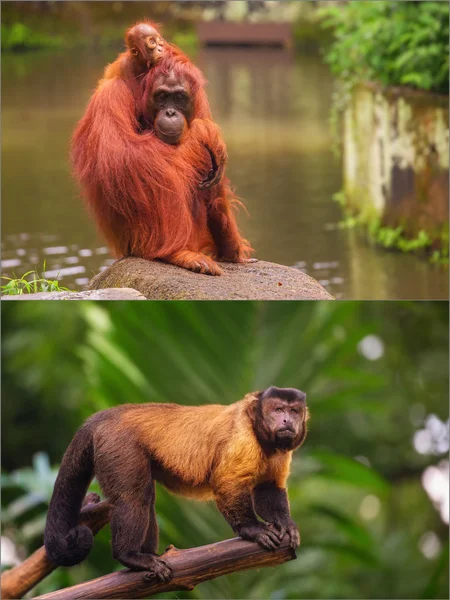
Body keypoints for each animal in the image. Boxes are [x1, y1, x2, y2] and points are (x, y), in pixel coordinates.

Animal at [44, 390, 308, 580]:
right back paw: (130, 556)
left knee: (146, 498)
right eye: (277, 409)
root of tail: (107, 415)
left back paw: (146, 554)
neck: (260, 434)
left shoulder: (280, 451)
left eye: (294, 411)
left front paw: (285, 524)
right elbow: (227, 482)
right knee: (135, 498)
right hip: (117, 443)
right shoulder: (243, 436)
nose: (287, 420)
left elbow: (268, 488)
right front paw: (253, 530)